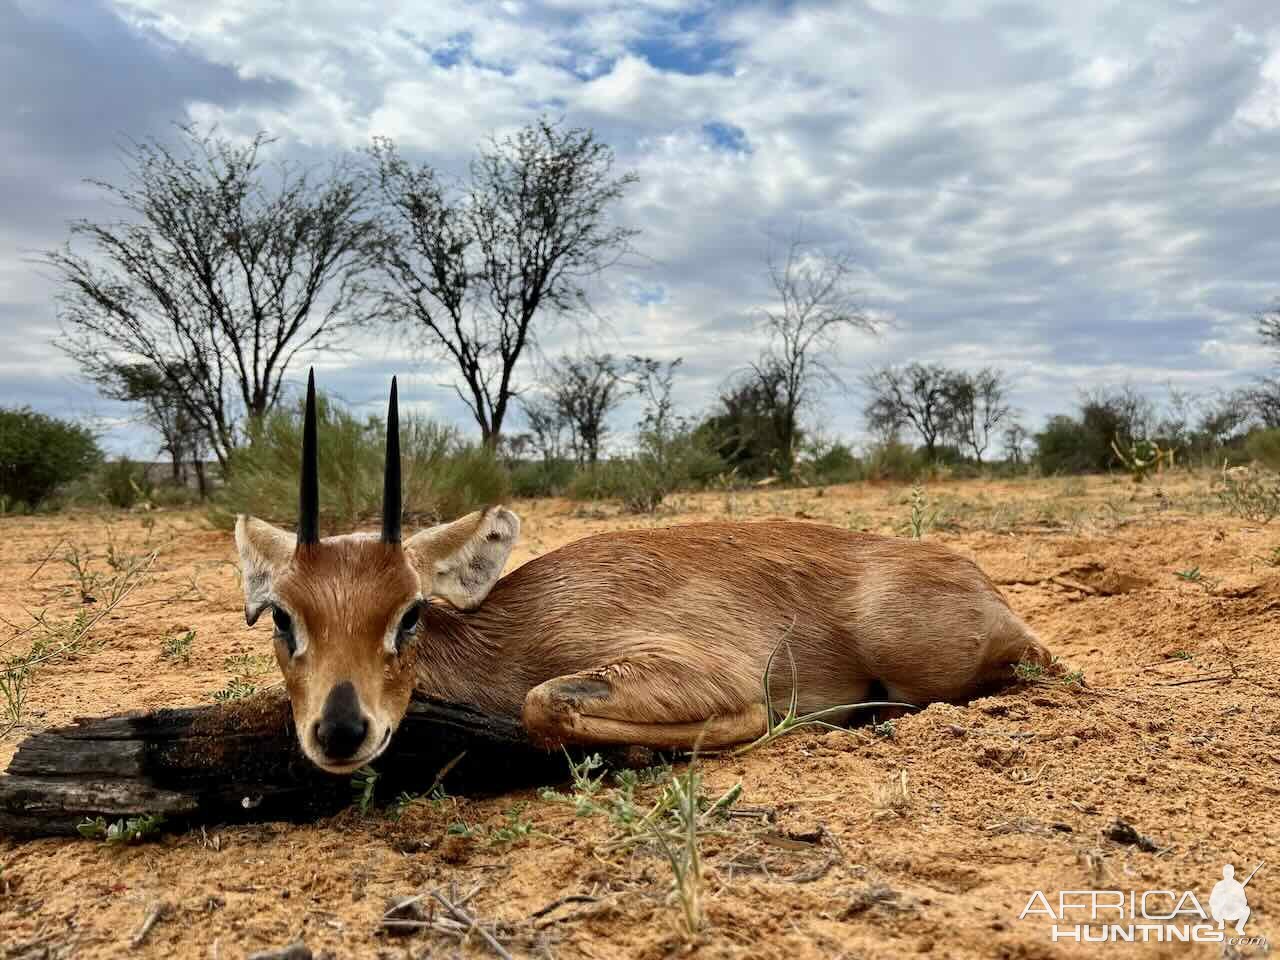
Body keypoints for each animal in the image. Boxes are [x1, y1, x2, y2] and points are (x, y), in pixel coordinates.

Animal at [238, 371, 1049, 778]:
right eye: (282, 615)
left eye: (409, 612)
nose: (341, 731)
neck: (510, 631)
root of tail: (973, 573)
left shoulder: (693, 670)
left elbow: (543, 704)